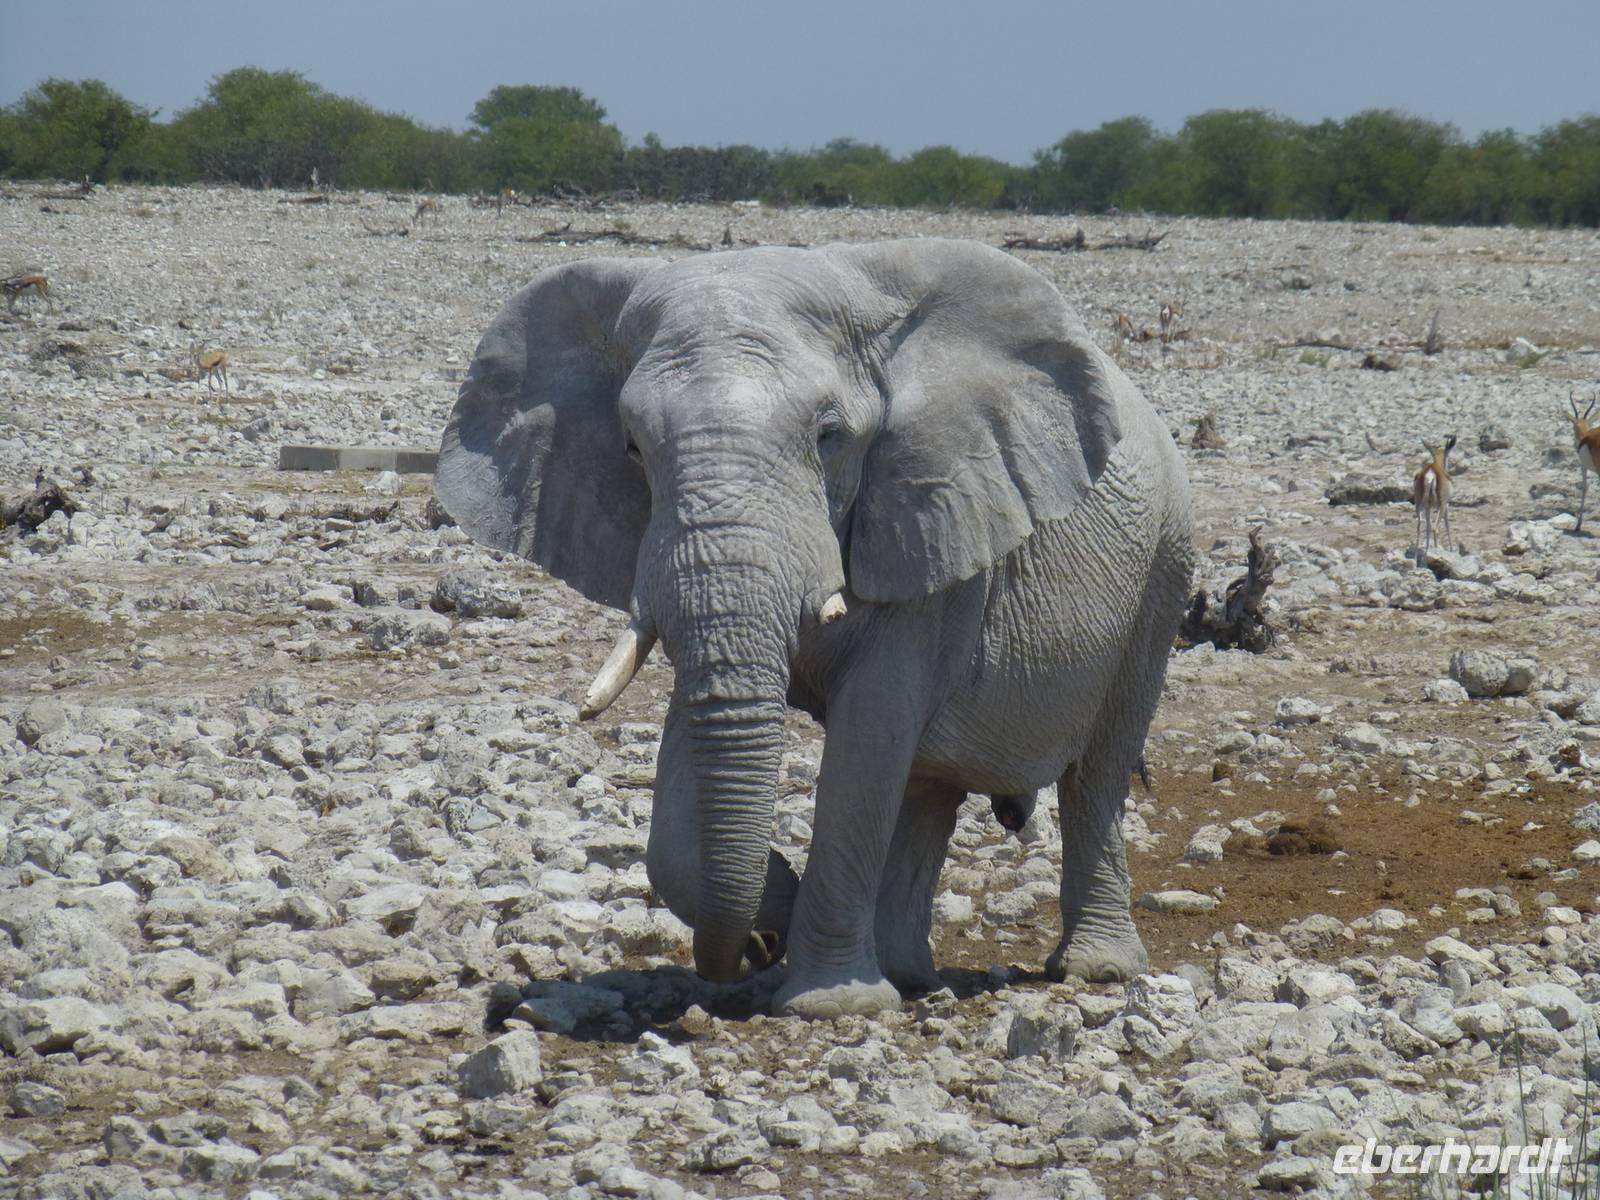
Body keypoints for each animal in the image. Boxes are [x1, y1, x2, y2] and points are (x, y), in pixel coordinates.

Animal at [434, 238, 1195, 1019]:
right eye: (634, 448)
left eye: (829, 438)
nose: (746, 951)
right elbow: (693, 776)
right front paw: (774, 928)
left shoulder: (932, 522)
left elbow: (868, 733)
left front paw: (829, 1002)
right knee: (926, 787)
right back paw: (910, 976)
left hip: (1163, 571)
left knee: (1098, 771)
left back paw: (1094, 970)